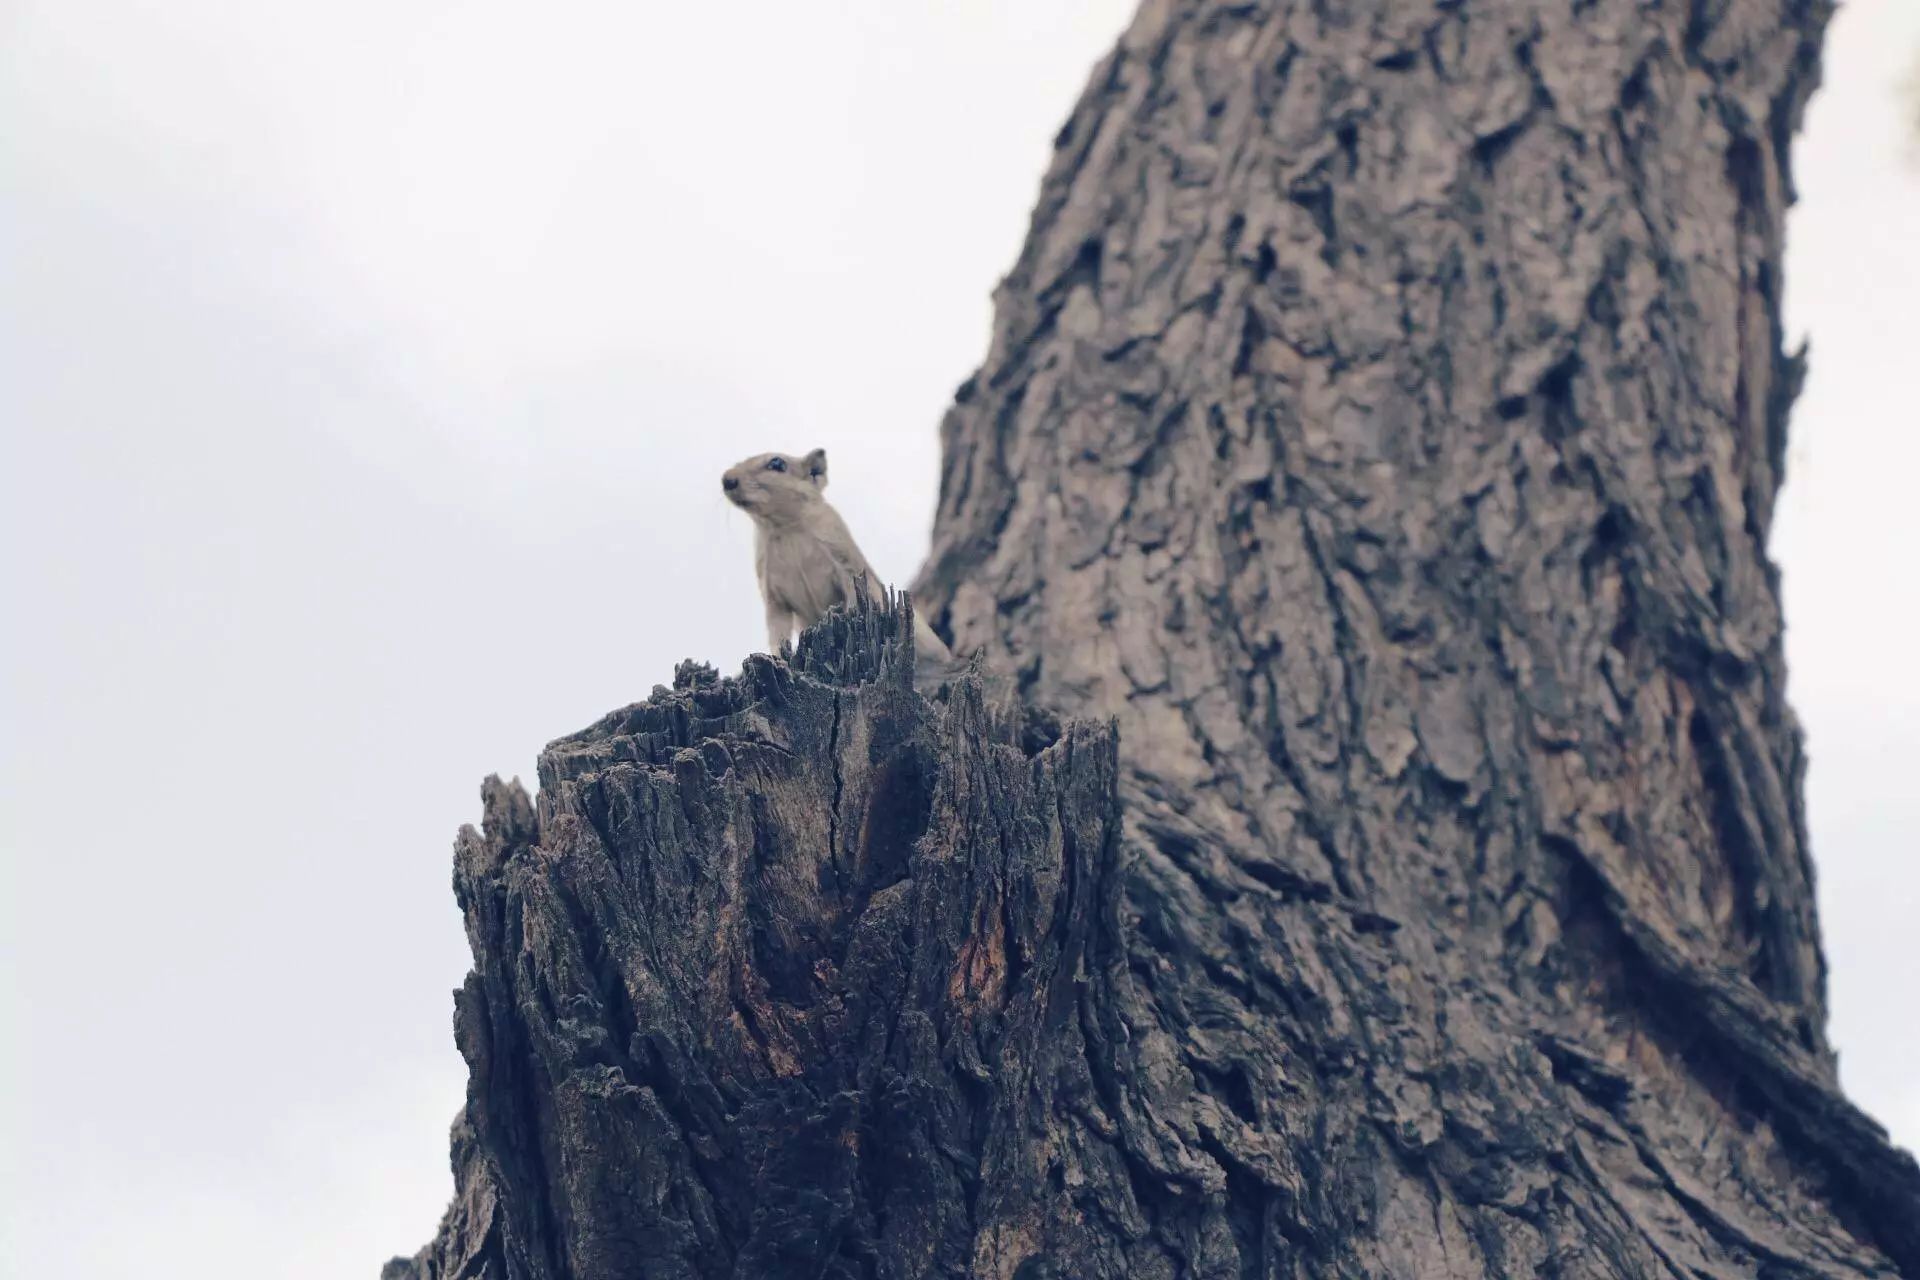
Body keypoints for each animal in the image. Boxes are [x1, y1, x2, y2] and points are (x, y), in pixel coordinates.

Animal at [721, 449, 956, 679]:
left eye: (777, 463)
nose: (727, 479)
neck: (785, 527)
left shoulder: (845, 565)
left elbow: (852, 600)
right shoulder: (772, 594)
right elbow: (777, 631)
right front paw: (777, 659)